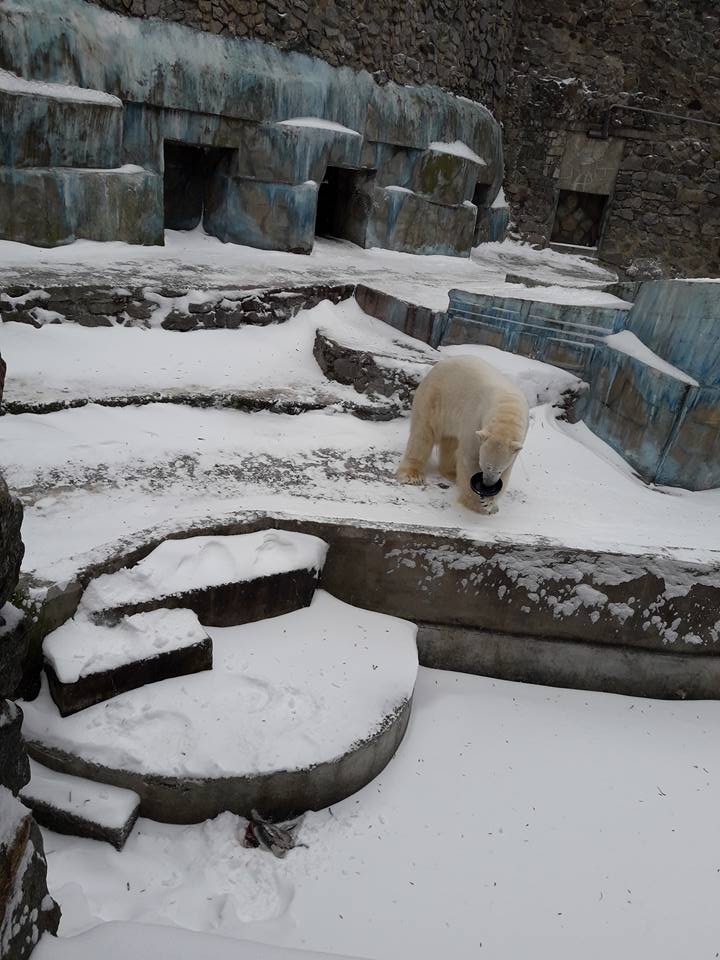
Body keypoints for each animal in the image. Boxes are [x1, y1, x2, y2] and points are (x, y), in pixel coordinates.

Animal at [394, 354, 528, 516]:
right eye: (484, 466)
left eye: (499, 469)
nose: (487, 484)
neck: (507, 409)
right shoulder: (475, 418)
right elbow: (469, 457)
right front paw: (477, 504)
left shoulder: (518, 440)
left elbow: (508, 470)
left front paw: (491, 504)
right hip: (435, 397)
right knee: (422, 434)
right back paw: (412, 475)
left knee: (450, 441)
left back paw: (451, 473)